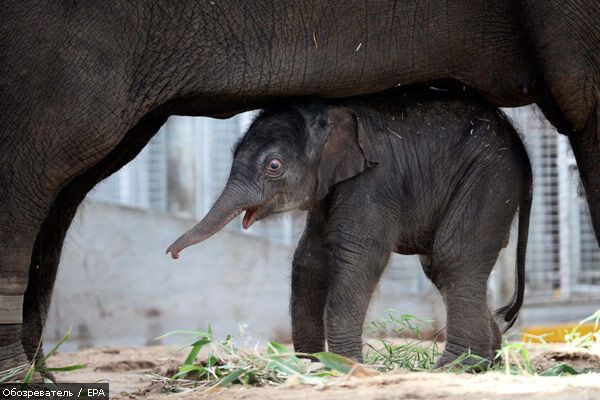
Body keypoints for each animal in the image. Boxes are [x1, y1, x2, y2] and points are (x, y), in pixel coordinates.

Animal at [166, 89, 532, 368]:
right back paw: (489, 363)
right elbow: (308, 259)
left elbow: (358, 254)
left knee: (453, 254)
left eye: (274, 166)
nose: (172, 254)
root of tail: (521, 145)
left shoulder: (375, 179)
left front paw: (345, 366)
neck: (330, 115)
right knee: (439, 267)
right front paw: (314, 367)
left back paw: (456, 367)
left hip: (489, 176)